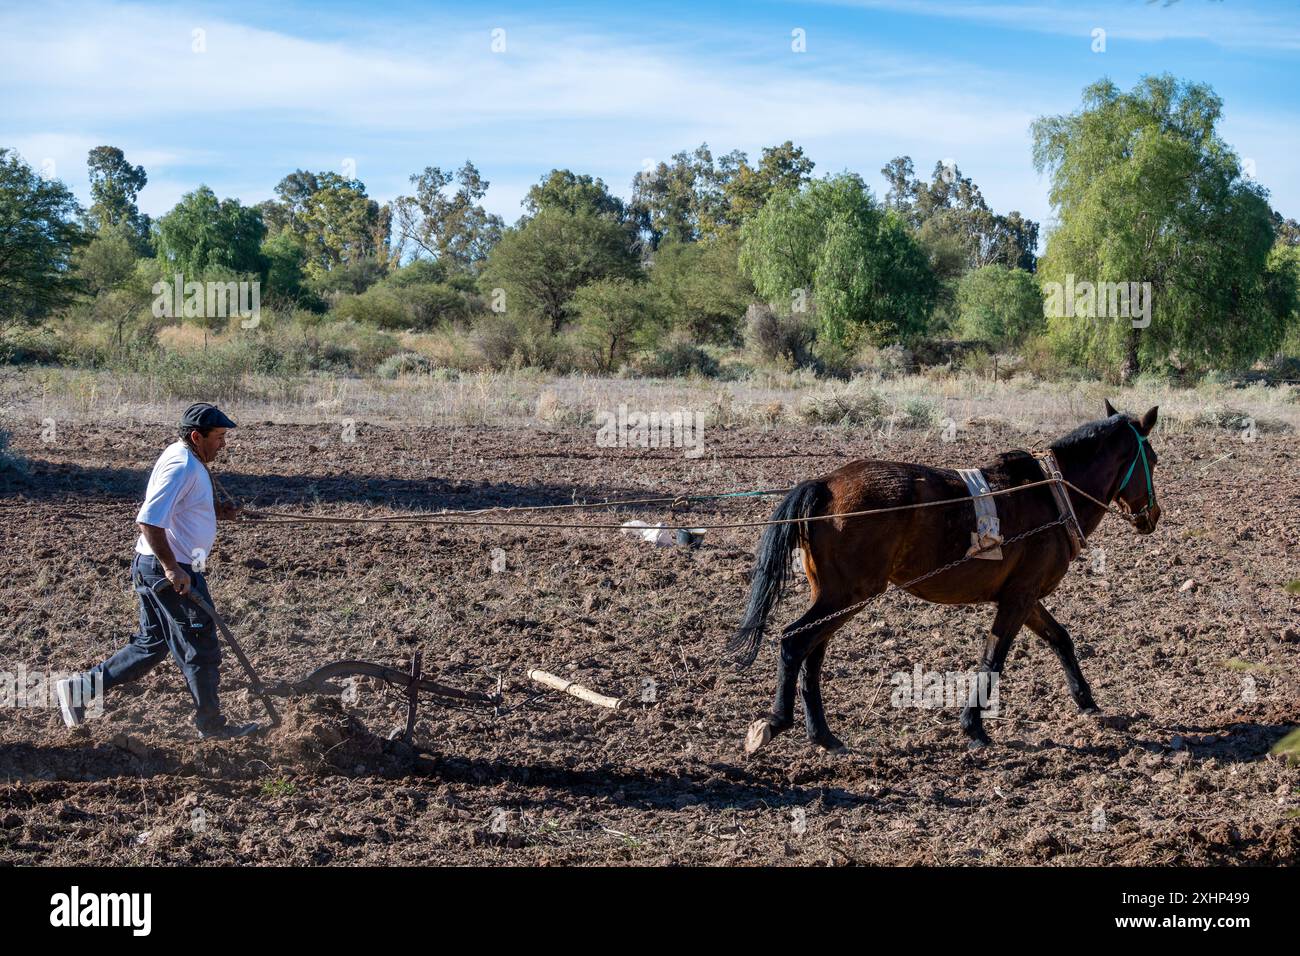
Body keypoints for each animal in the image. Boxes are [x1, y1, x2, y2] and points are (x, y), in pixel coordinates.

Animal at [728, 400, 1161, 753]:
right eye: (1153, 461)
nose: (1152, 516)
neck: (1052, 494)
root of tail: (825, 485)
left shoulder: (1025, 596)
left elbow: (1061, 640)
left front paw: (1087, 702)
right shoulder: (1018, 599)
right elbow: (993, 658)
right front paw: (974, 727)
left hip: (835, 597)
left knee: (812, 652)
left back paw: (823, 735)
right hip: (849, 594)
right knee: (794, 641)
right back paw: (777, 722)